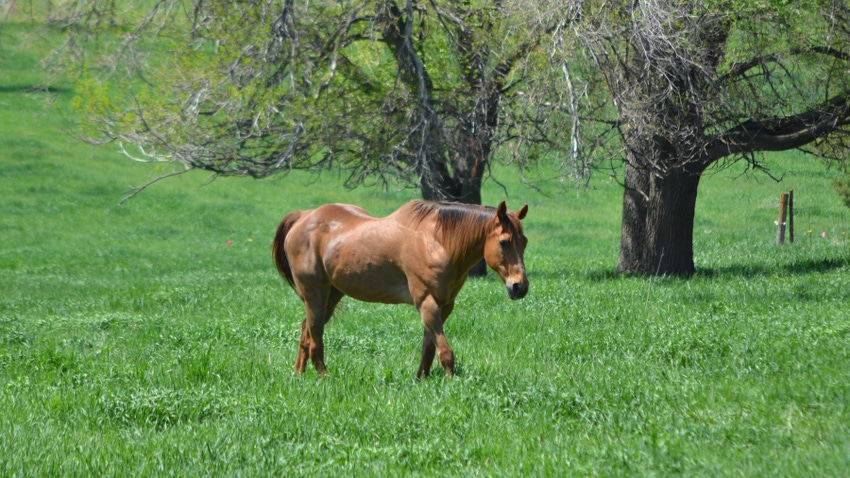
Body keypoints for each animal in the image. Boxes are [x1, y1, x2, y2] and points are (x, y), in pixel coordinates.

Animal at [272, 198, 528, 378]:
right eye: (504, 242)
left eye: (524, 242)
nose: (520, 287)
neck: (437, 243)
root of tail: (303, 217)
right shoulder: (426, 302)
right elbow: (445, 351)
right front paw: (451, 383)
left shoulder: (444, 305)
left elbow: (429, 348)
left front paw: (421, 379)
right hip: (314, 292)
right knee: (315, 335)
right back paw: (324, 376)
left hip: (332, 294)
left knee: (306, 331)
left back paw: (299, 374)